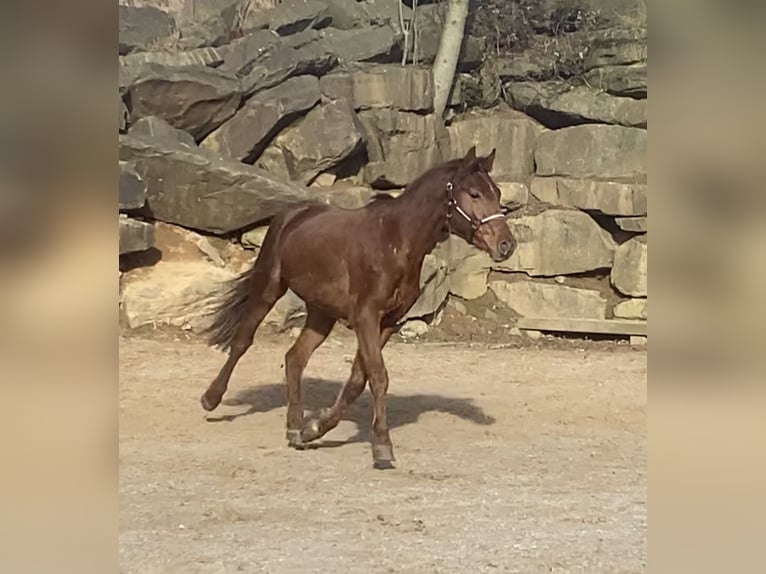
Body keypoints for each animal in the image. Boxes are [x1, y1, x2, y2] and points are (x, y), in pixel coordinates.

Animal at [201, 146, 520, 470]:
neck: (394, 242)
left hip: (321, 313)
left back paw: (294, 428)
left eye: (497, 192)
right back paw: (211, 399)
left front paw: (314, 428)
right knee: (242, 340)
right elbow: (378, 377)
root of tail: (292, 214)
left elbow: (358, 378)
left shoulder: (388, 322)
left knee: (294, 358)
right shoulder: (365, 317)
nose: (506, 245)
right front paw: (382, 447)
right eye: (474, 193)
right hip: (269, 288)